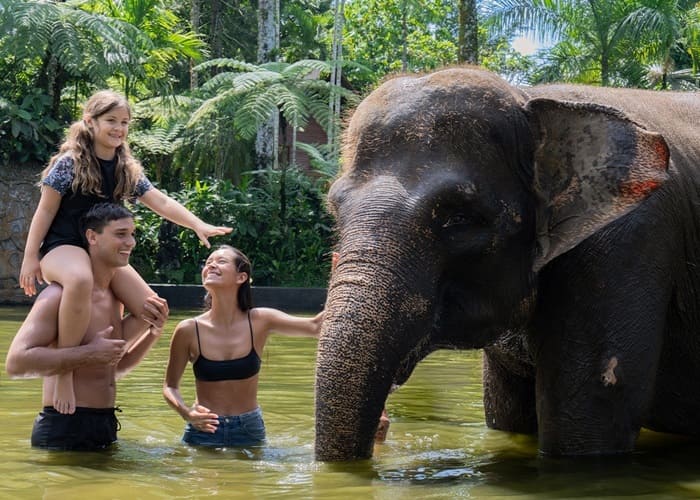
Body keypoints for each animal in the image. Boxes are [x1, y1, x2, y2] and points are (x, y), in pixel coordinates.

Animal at [315, 66, 700, 461]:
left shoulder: (624, 245)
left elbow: (590, 419)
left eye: (459, 218)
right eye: (334, 210)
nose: (383, 427)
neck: (529, 100)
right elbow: (507, 416)